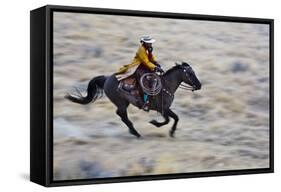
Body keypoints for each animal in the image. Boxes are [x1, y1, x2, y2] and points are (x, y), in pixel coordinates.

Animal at [65, 61, 201, 138]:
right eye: (190, 73)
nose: (199, 85)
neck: (166, 85)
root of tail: (107, 78)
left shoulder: (165, 109)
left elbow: (175, 118)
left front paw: (171, 132)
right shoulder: (163, 109)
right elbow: (170, 119)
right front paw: (156, 124)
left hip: (124, 103)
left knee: (121, 115)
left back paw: (133, 131)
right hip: (121, 103)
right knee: (122, 115)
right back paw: (135, 133)